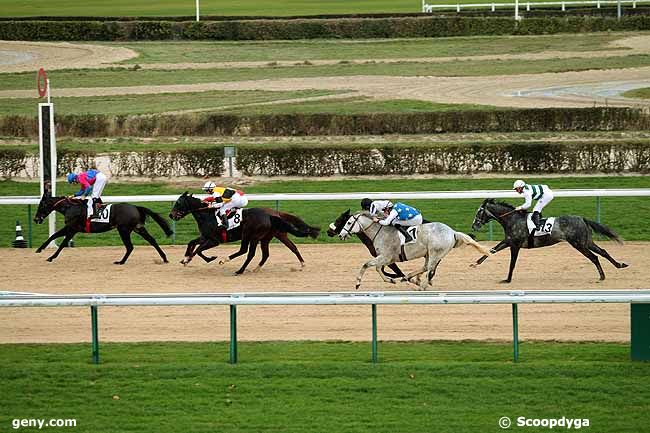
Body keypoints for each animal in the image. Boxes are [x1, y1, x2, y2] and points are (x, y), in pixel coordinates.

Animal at [33, 192, 171, 264]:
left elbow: (62, 243)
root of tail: (136, 207)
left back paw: (121, 261)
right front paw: (40, 249)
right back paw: (164, 258)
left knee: (130, 246)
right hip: (138, 228)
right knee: (152, 240)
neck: (70, 208)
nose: (36, 219)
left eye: (41, 205)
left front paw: (51, 257)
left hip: (123, 229)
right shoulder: (70, 228)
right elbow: (53, 235)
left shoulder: (72, 228)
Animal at [167, 192, 318, 274]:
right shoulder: (205, 237)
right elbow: (191, 243)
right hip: (271, 236)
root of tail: (273, 214)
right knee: (286, 249)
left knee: (247, 252)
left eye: (178, 203)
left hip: (251, 235)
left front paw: (209, 258)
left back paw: (235, 268)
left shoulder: (214, 241)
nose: (171, 215)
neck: (207, 215)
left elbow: (198, 250)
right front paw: (185, 259)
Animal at [336, 210, 488, 290]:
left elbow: (367, 265)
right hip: (429, 253)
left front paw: (357, 283)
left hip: (435, 253)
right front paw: (391, 280)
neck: (380, 232)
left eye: (348, 223)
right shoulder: (388, 258)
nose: (340, 235)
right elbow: (378, 268)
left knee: (429, 270)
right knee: (426, 268)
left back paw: (421, 286)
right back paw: (409, 278)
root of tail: (452, 232)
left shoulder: (386, 256)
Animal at [468, 197, 624, 282]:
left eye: (479, 212)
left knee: (594, 257)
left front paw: (507, 279)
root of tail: (582, 218)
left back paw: (602, 276)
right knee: (602, 252)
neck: (513, 219)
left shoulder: (515, 245)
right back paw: (620, 265)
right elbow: (491, 250)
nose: (474, 225)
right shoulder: (508, 241)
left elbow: (512, 263)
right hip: (586, 241)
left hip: (578, 243)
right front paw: (475, 263)